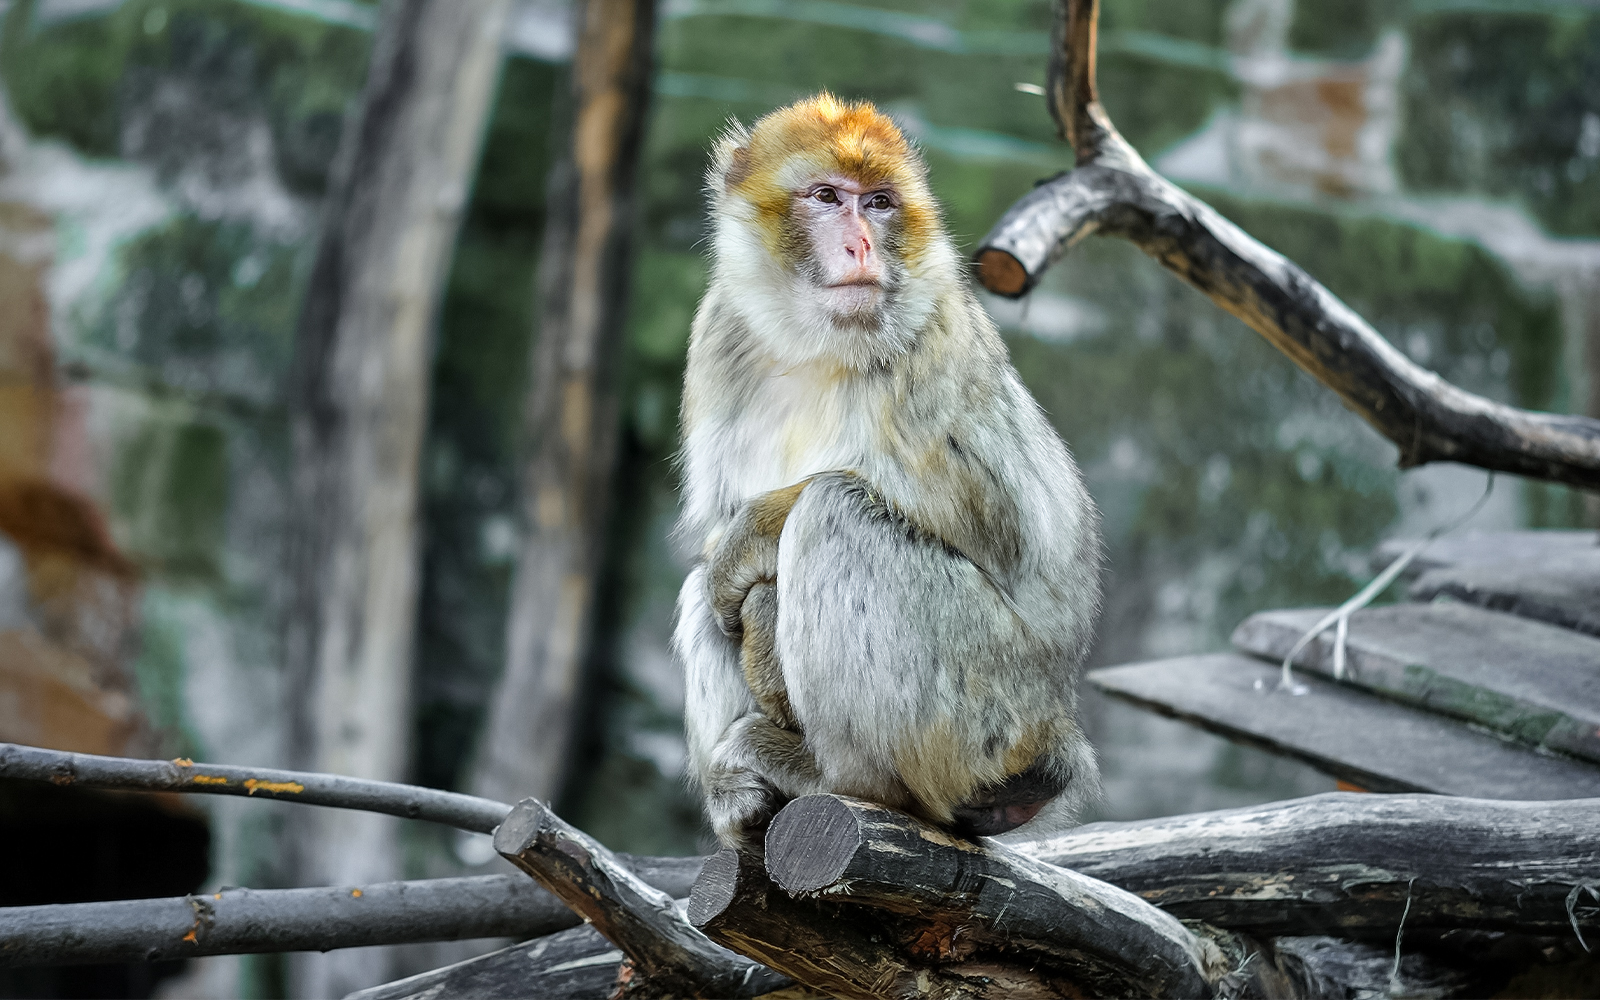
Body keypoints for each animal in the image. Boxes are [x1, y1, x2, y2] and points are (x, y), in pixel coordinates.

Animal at [672, 93, 1102, 850]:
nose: (862, 245)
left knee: (835, 513)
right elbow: (715, 539)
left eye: (877, 203)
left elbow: (994, 525)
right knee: (704, 580)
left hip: (985, 709)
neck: (811, 340)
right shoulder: (720, 328)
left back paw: (836, 775)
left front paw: (753, 542)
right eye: (826, 197)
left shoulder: (929, 337)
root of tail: (1054, 725)